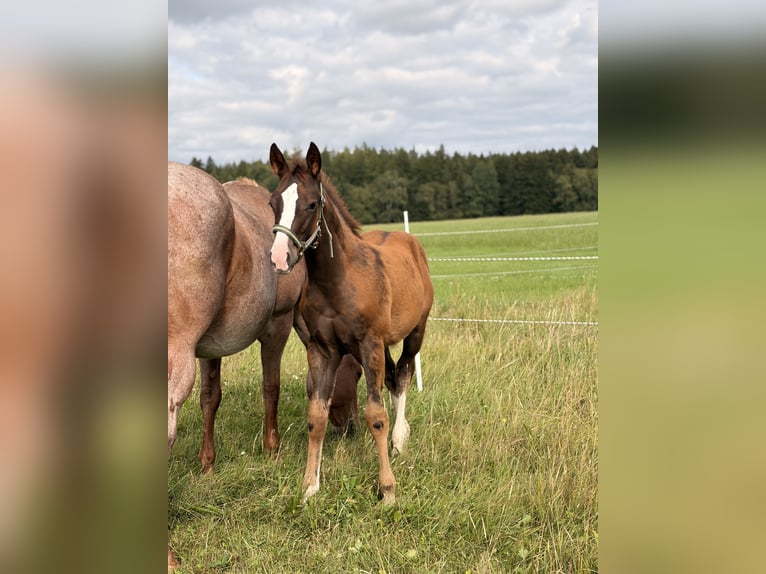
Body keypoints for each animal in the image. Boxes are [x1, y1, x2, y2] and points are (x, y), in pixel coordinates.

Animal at [167, 164, 360, 568]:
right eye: (356, 373)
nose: (348, 427)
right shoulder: (277, 325)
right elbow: (270, 388)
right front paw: (272, 450)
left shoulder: (209, 348)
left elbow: (211, 398)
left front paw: (207, 464)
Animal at [268, 142, 434, 504]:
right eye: (273, 202)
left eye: (312, 203)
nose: (278, 259)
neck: (337, 282)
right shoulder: (321, 349)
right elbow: (317, 416)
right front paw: (309, 487)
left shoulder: (369, 343)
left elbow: (376, 417)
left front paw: (387, 489)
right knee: (392, 378)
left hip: (415, 333)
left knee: (402, 377)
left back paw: (400, 438)